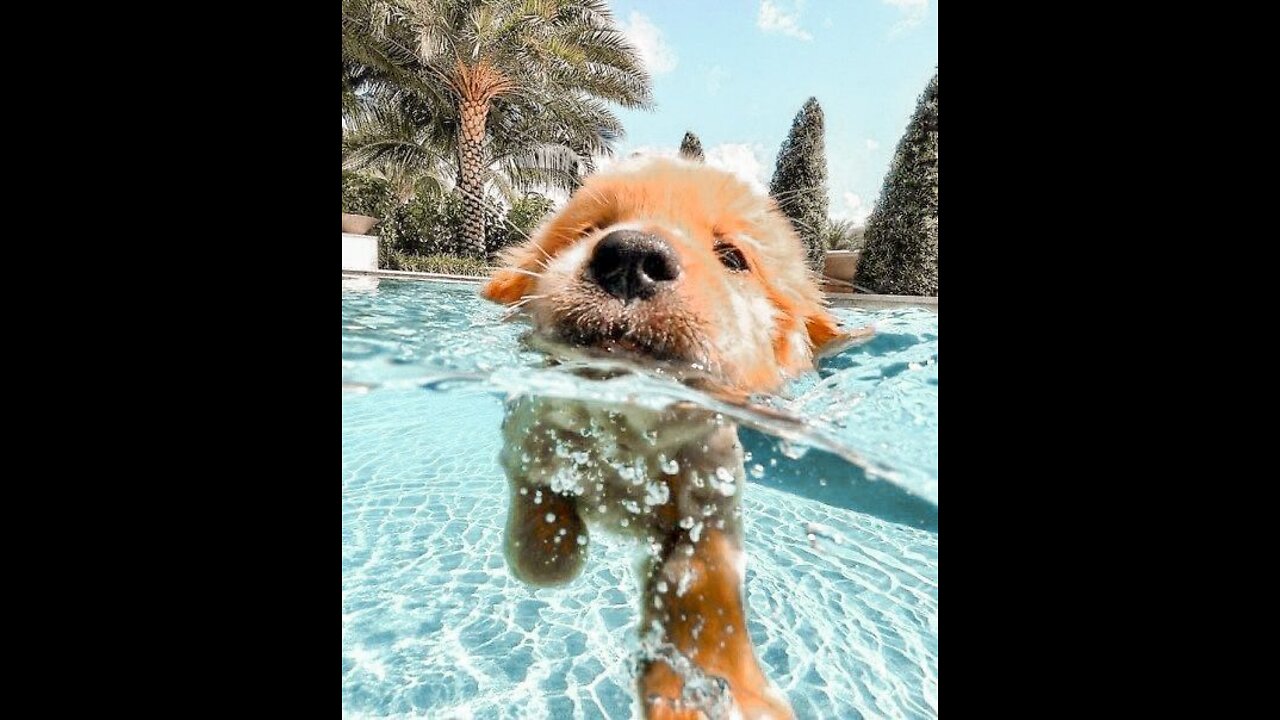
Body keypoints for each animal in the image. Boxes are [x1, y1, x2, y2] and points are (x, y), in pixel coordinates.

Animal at [481, 156, 870, 717]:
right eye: (591, 228)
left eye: (733, 257)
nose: (632, 255)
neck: (631, 423)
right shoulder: (528, 422)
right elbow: (541, 527)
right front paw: (553, 545)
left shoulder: (713, 490)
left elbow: (704, 582)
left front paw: (714, 685)